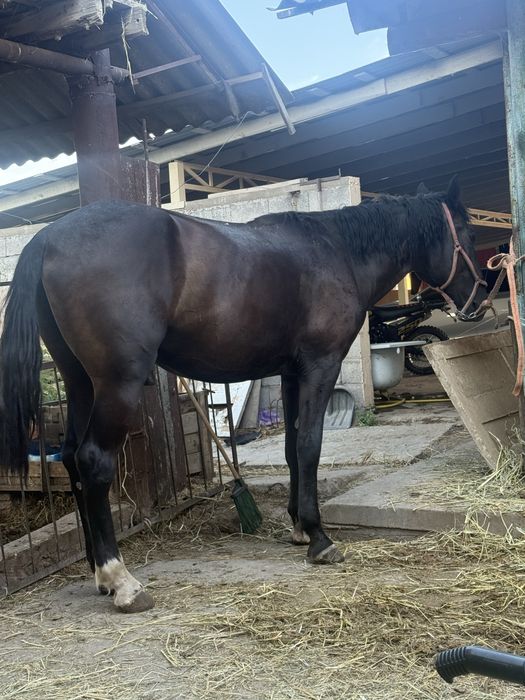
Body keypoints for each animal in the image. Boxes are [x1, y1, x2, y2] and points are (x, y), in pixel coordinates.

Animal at [0, 176, 488, 613]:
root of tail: (46, 237)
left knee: (69, 457)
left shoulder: (292, 373)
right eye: (466, 233)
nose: (480, 298)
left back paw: (97, 573)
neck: (335, 251)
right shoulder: (321, 365)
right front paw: (319, 538)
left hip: (81, 381)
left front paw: (298, 527)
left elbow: (292, 448)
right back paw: (121, 580)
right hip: (117, 383)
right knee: (93, 461)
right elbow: (310, 445)